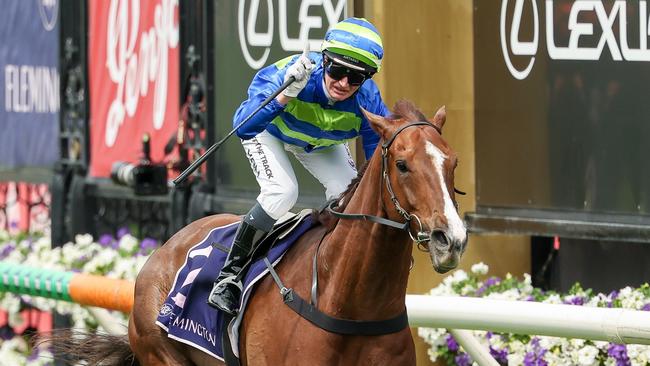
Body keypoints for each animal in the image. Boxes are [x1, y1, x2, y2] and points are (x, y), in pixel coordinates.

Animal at [49, 100, 466, 366]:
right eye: (402, 164)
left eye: (454, 162)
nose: (451, 239)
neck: (349, 304)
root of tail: (163, 250)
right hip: (160, 351)